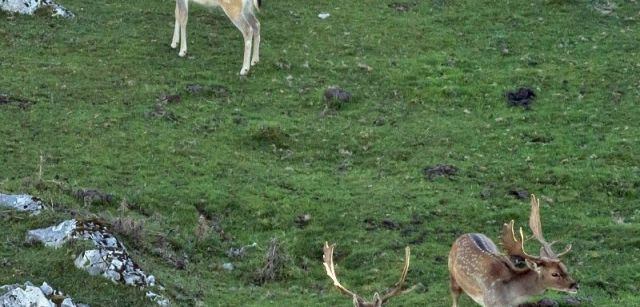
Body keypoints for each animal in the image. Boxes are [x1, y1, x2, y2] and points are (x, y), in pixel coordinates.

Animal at [448, 196, 576, 306]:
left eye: (565, 267)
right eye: (554, 273)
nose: (575, 285)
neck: (508, 298)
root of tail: (465, 235)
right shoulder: (489, 301)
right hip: (453, 276)